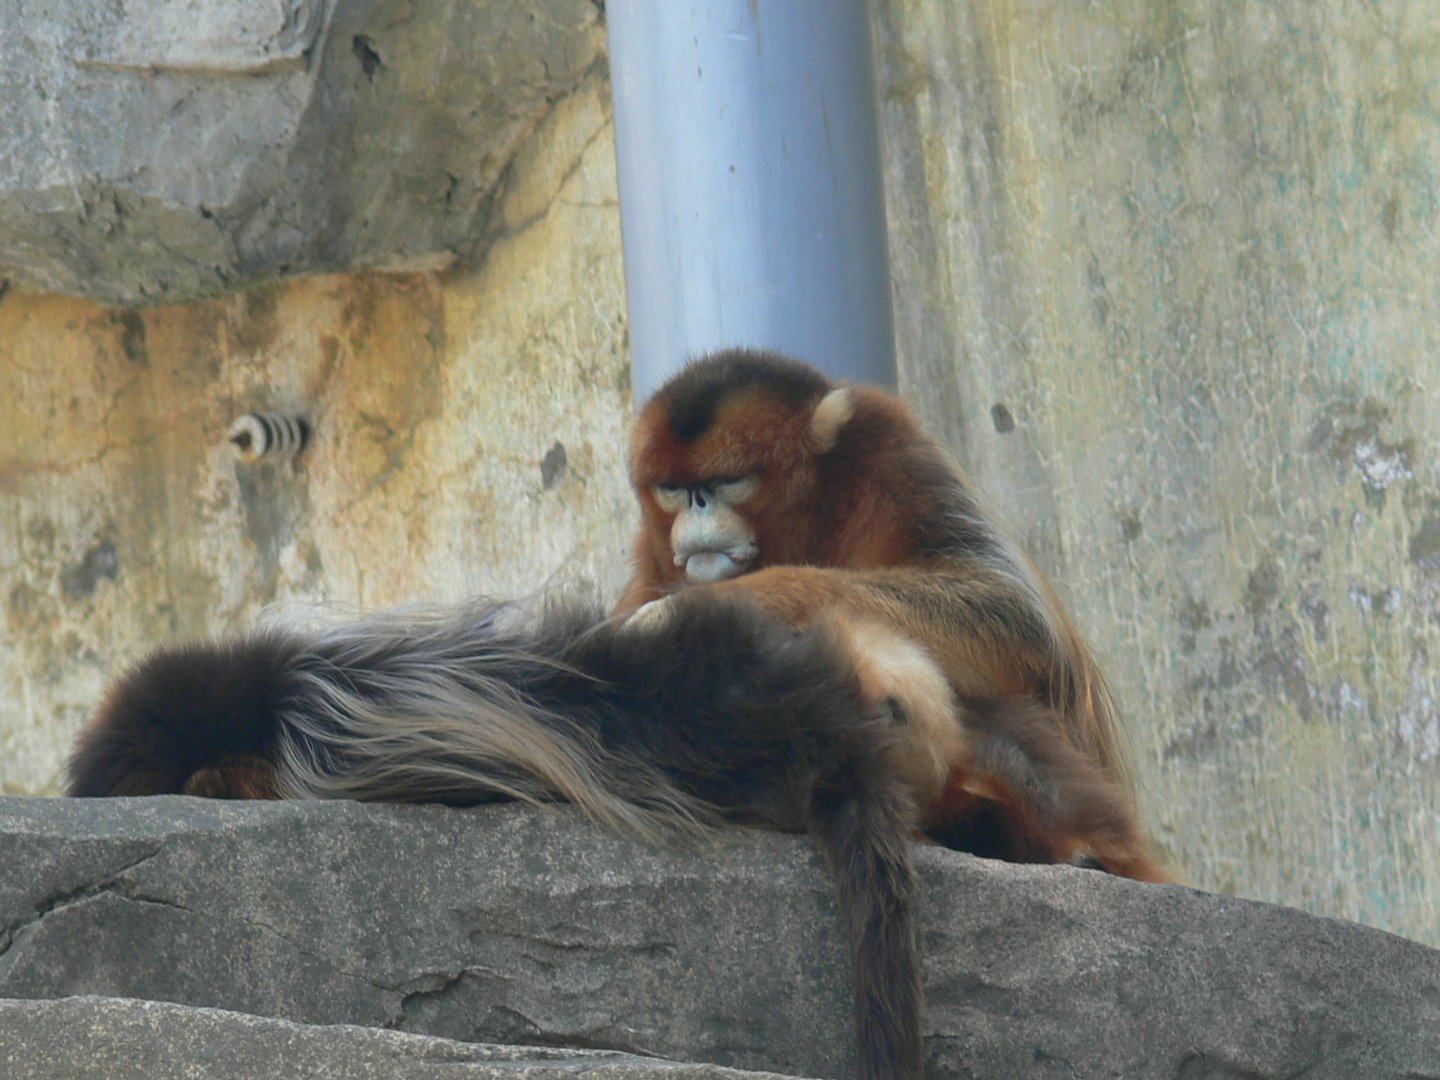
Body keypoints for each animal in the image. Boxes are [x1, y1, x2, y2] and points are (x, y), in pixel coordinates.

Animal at [618, 349, 1167, 880]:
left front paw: (715, 606)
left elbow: (1015, 617)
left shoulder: (892, 452)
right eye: (672, 488)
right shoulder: (651, 553)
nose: (698, 501)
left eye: (730, 480)